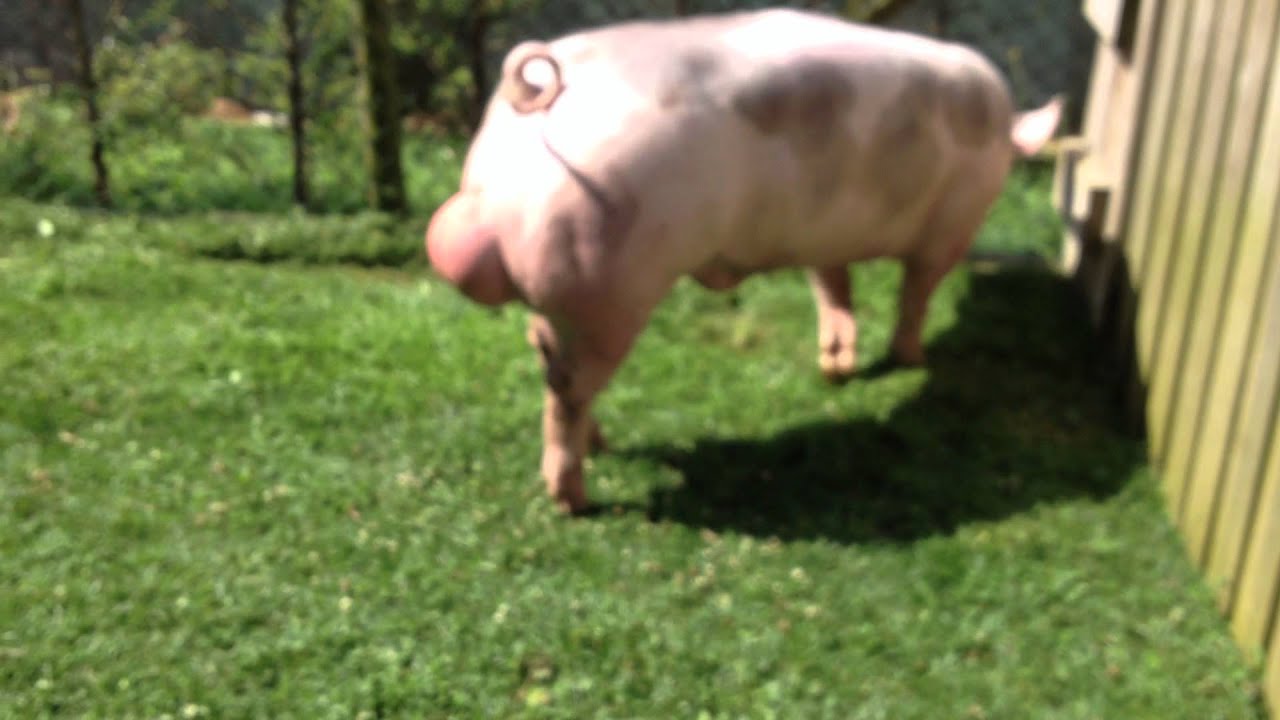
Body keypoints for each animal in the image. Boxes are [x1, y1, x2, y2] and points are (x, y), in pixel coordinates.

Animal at [425, 8, 1064, 514]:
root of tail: (540, 95)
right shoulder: (951, 228)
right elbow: (917, 293)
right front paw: (910, 360)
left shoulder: (821, 237)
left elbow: (833, 286)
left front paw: (837, 367)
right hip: (602, 282)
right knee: (567, 389)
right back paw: (573, 501)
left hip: (564, 283)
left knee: (543, 354)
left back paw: (598, 447)